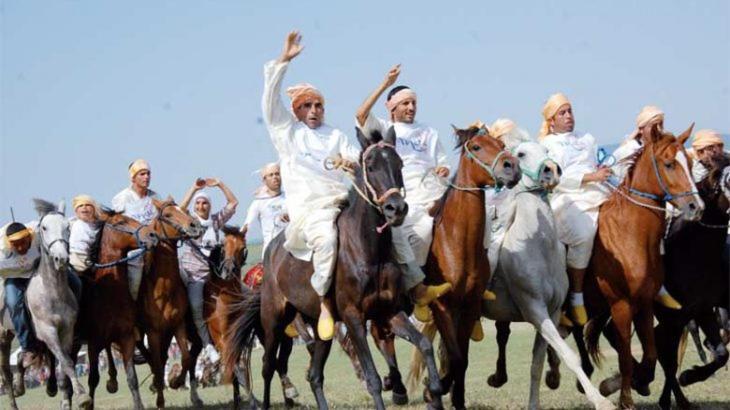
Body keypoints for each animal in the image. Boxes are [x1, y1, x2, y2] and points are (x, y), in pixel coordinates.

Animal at [79, 208, 158, 410]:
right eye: (121, 222)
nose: (153, 235)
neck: (108, 294)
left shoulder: (126, 337)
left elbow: (132, 378)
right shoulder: (93, 344)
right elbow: (93, 379)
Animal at [225, 128, 446, 410]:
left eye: (399, 164)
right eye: (371, 166)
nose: (395, 208)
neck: (369, 252)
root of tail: (270, 252)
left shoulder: (389, 312)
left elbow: (424, 343)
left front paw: (435, 391)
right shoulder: (353, 317)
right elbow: (372, 377)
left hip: (321, 327)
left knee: (314, 375)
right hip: (274, 320)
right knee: (268, 366)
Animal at [406, 124, 520, 410]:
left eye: (501, 143)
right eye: (477, 147)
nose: (512, 166)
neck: (457, 242)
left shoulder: (469, 305)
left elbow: (462, 359)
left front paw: (454, 397)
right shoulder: (442, 305)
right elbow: (455, 357)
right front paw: (433, 389)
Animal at [580, 123, 700, 408]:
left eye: (690, 162)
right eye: (669, 164)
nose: (696, 206)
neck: (629, 235)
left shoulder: (643, 303)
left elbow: (651, 355)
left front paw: (635, 382)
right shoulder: (621, 305)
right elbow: (625, 356)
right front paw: (626, 398)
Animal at [648, 155, 728, 410]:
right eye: (727, 180)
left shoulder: (702, 309)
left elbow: (721, 353)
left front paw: (690, 376)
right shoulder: (683, 314)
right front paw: (688, 377)